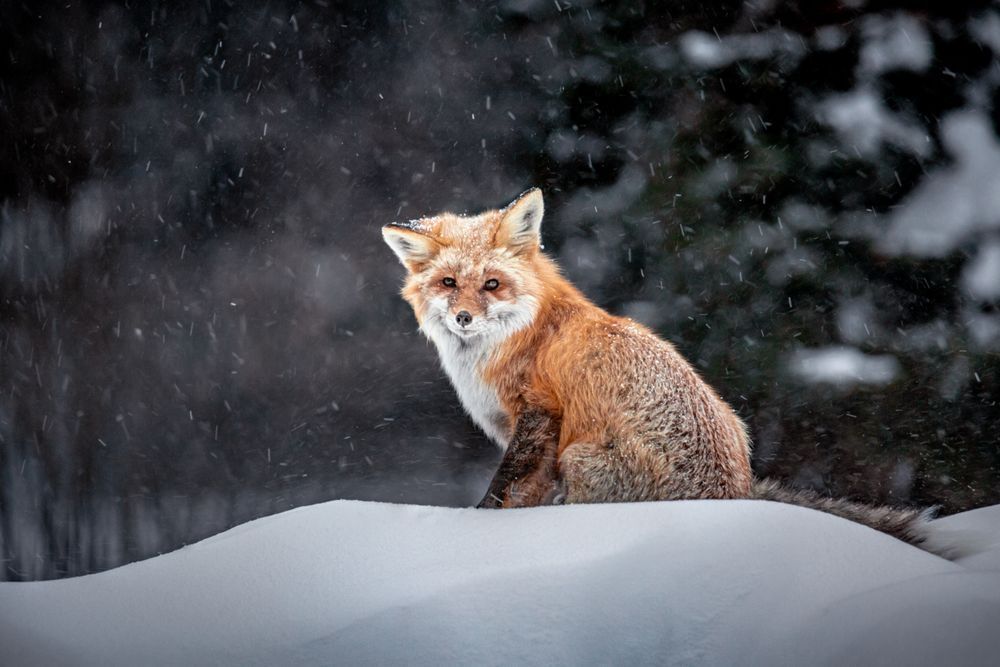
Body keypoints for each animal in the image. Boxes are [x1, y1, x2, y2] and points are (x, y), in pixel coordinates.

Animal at [382, 188, 941, 553]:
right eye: (450, 283)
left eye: (492, 284)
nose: (463, 318)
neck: (521, 337)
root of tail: (733, 495)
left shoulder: (540, 415)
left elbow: (505, 490)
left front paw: (478, 525)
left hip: (580, 458)